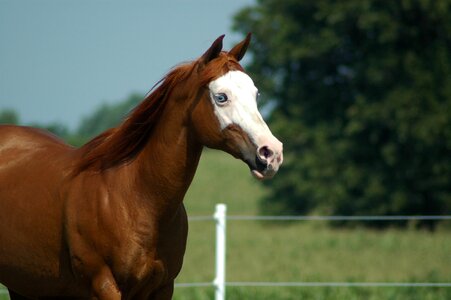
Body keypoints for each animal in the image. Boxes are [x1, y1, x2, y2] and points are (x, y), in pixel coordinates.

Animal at [0, 34, 282, 298]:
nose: (271, 153)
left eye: (256, 94)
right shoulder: (104, 285)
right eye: (221, 97)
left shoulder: (163, 287)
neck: (137, 198)